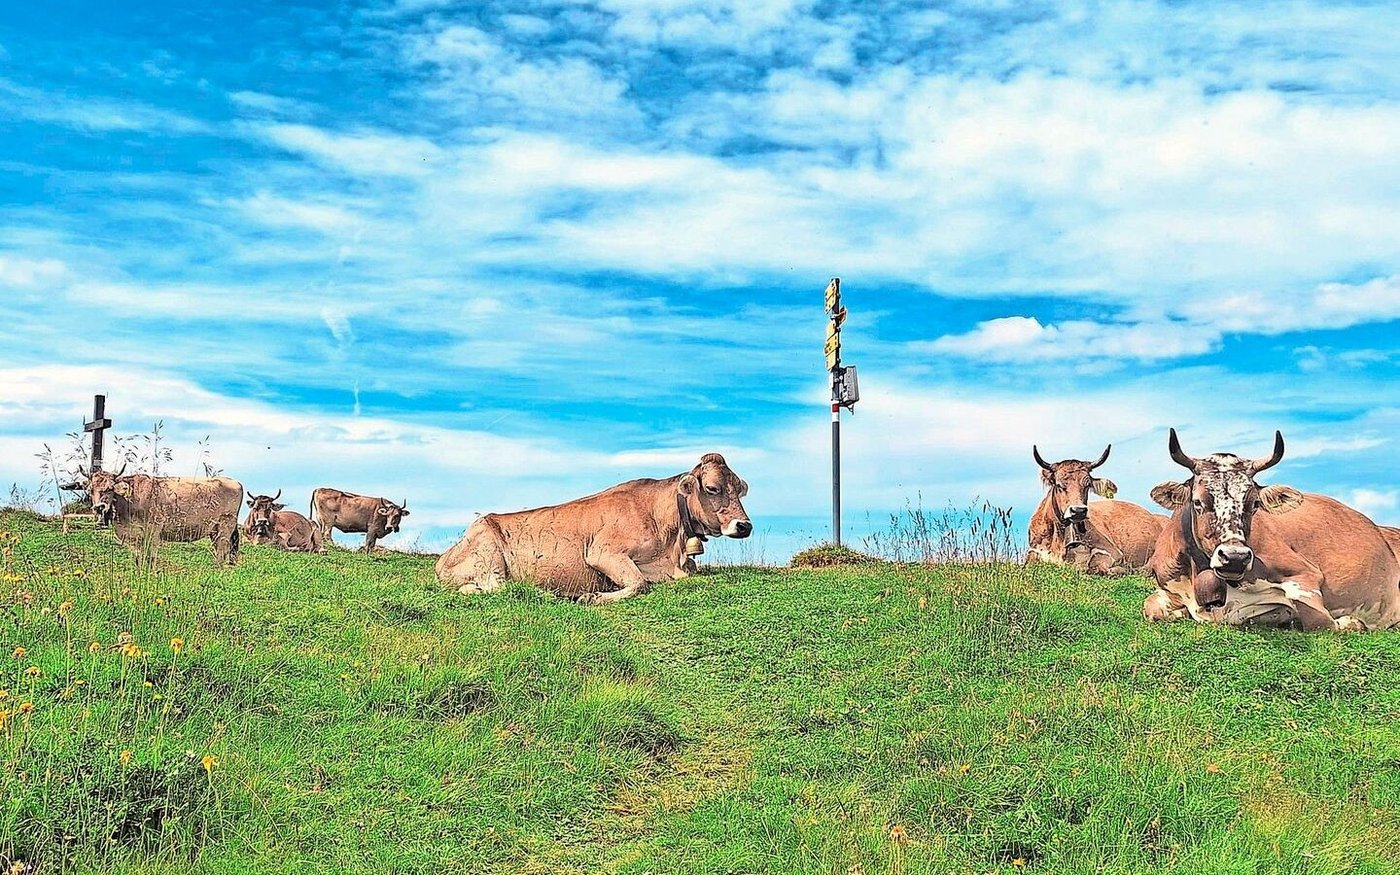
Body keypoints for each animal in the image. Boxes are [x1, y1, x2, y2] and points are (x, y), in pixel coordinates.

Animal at [84, 466, 242, 566]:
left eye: (110, 489)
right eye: (90, 489)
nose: (99, 507)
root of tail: (235, 481)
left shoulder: (154, 530)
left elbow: (151, 557)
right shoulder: (134, 536)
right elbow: (139, 558)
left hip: (226, 525)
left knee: (222, 550)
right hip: (214, 530)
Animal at [436, 452, 752, 604]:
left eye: (740, 489)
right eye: (712, 488)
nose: (744, 526)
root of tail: (441, 563)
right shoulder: (602, 553)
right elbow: (639, 583)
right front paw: (592, 597)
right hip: (488, 549)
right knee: (499, 587)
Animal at [1026, 444, 1167, 575]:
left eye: (1087, 485)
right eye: (1059, 485)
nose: (1078, 510)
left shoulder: (1113, 551)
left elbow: (1095, 562)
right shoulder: (1033, 551)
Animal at [1143, 429, 1400, 631]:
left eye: (1254, 503)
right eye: (1197, 502)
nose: (1235, 558)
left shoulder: (1304, 576)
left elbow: (1320, 621)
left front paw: (1351, 623)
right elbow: (1150, 607)